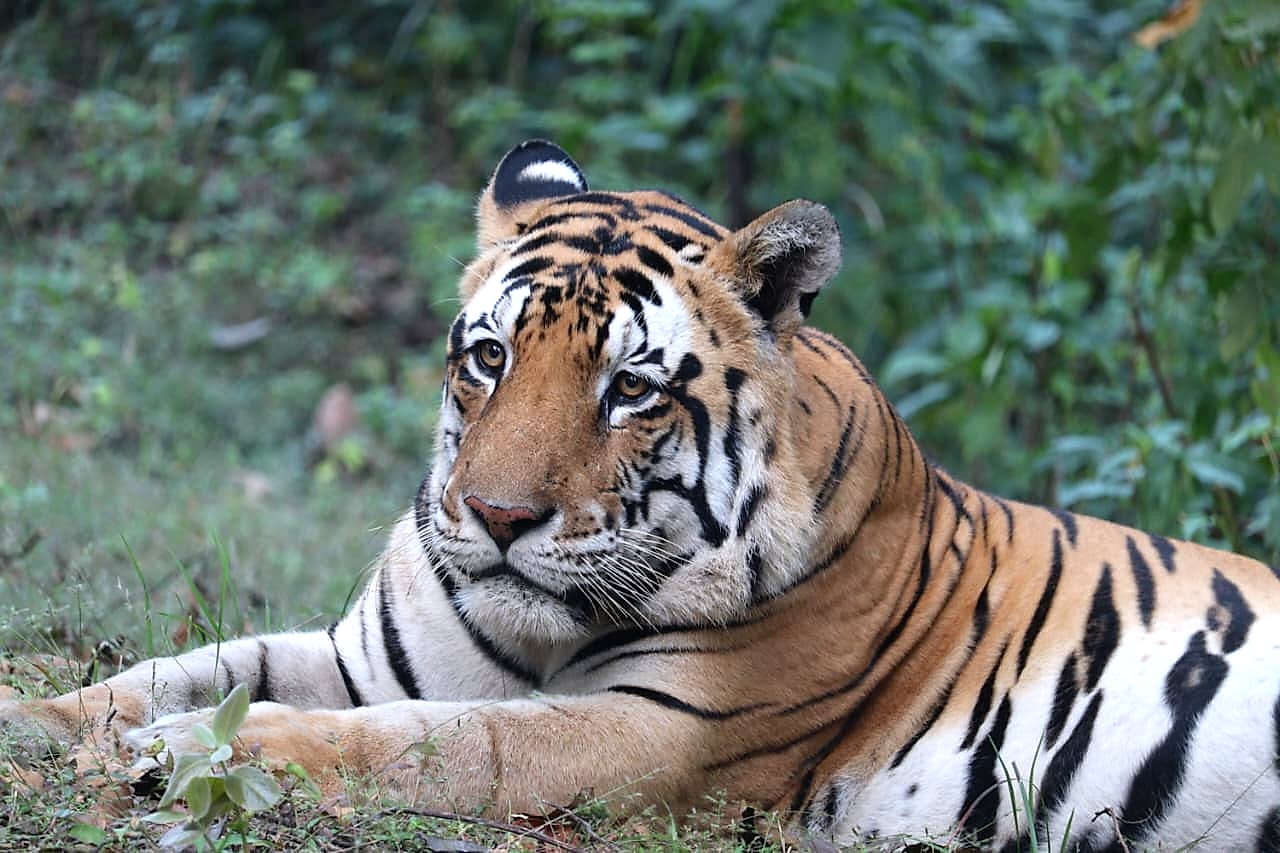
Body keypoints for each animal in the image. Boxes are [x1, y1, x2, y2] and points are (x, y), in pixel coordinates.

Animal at [3, 139, 1279, 851]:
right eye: (488, 358)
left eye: (628, 388)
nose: (496, 518)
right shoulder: (369, 654)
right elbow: (187, 667)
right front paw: (51, 720)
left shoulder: (654, 734)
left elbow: (433, 747)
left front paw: (191, 754)